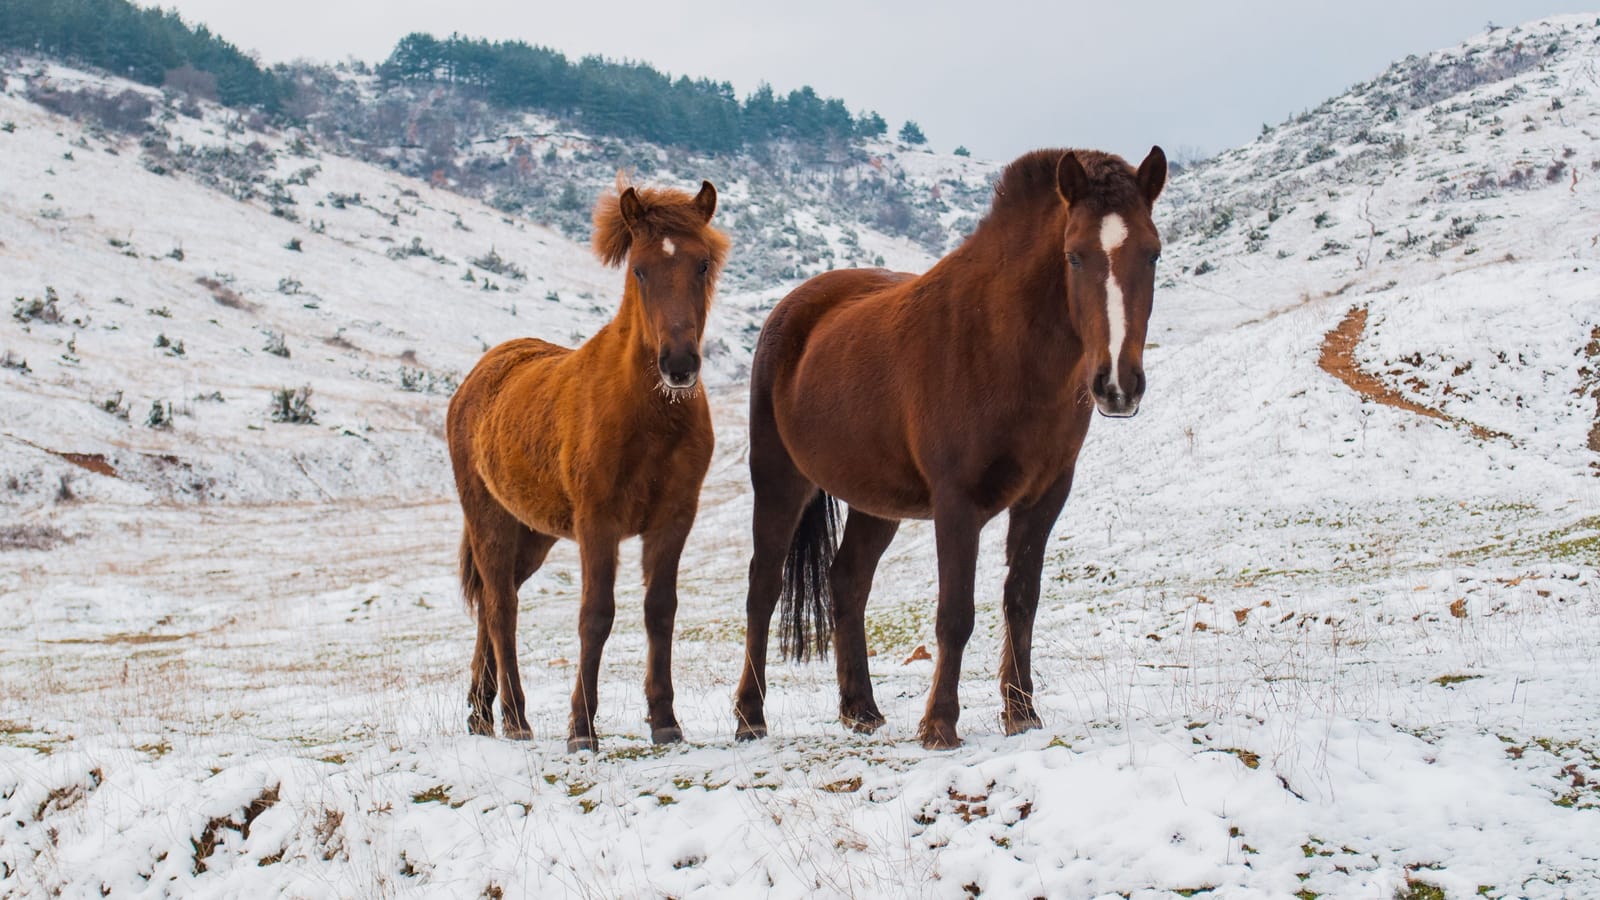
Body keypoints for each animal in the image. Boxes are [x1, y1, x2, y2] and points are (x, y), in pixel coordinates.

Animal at [446, 177, 728, 752]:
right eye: (639, 269)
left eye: (702, 264)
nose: (680, 365)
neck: (648, 417)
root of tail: (477, 378)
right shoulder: (599, 522)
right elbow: (596, 615)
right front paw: (581, 729)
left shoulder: (674, 519)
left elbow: (660, 610)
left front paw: (665, 720)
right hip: (490, 521)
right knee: (502, 609)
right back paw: (515, 718)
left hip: (533, 534)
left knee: (491, 602)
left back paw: (481, 714)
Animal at [733, 147, 1167, 749]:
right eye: (1075, 256)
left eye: (1152, 253)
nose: (1118, 385)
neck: (1002, 344)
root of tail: (792, 309)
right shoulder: (957, 504)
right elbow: (956, 613)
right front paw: (940, 723)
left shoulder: (1045, 497)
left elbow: (1021, 600)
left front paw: (1021, 712)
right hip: (779, 481)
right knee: (763, 588)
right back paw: (750, 716)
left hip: (875, 502)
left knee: (848, 582)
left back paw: (860, 708)